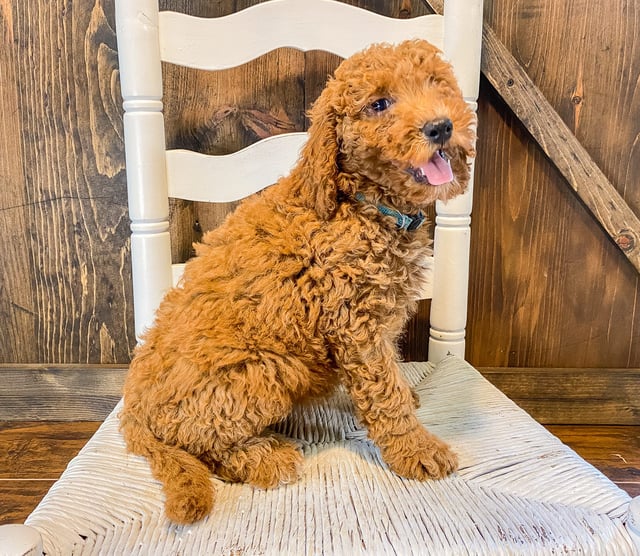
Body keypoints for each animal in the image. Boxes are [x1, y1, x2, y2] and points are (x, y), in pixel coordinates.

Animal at [122, 40, 478, 524]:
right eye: (379, 104)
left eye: (436, 83)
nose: (441, 127)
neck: (363, 202)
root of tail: (133, 408)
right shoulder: (356, 324)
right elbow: (385, 394)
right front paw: (416, 450)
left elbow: (390, 376)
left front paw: (409, 401)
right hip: (267, 368)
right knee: (203, 444)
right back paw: (262, 458)